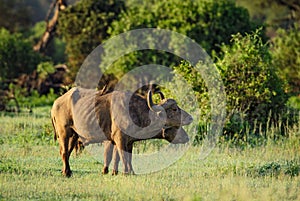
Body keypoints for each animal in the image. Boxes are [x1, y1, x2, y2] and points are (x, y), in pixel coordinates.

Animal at [51, 86, 192, 176]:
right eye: (174, 109)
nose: (191, 118)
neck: (136, 112)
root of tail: (56, 103)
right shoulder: (119, 139)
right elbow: (121, 157)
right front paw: (124, 173)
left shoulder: (129, 142)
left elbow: (126, 157)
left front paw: (130, 172)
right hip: (64, 133)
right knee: (64, 152)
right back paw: (66, 173)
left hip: (74, 135)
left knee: (67, 152)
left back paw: (66, 171)